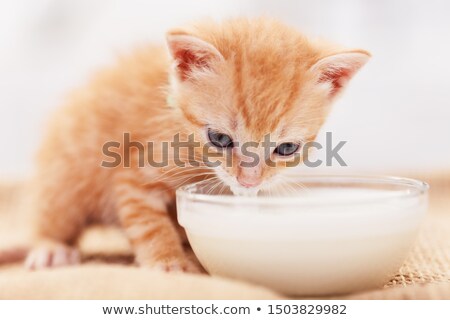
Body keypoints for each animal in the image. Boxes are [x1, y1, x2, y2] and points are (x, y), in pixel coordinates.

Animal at [23, 18, 370, 272]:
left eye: (286, 149)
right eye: (220, 139)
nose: (249, 181)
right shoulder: (133, 176)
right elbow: (149, 224)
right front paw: (168, 262)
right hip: (66, 175)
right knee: (54, 213)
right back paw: (50, 247)